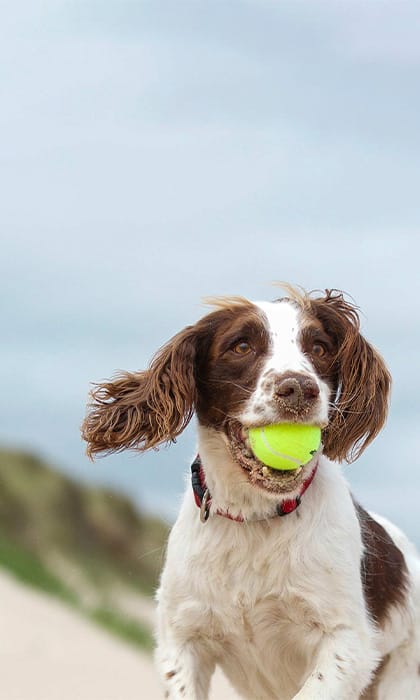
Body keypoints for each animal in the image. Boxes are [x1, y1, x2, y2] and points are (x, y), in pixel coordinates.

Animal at [82, 288, 420, 696]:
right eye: (241, 346)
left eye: (319, 348)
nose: (298, 388)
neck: (255, 516)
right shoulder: (181, 636)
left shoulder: (347, 643)